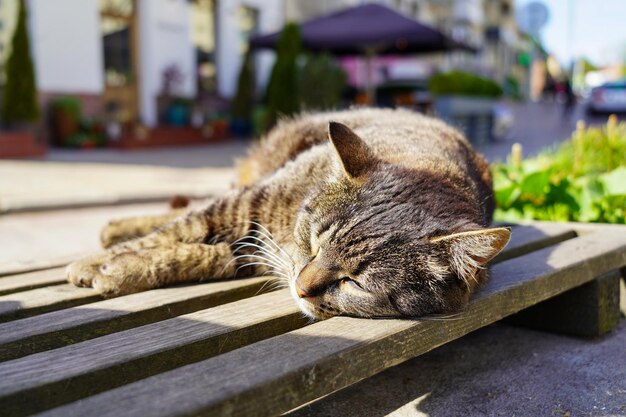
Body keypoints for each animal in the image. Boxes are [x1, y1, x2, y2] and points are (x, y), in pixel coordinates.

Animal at [66, 107, 510, 318]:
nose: (301, 286)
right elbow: (175, 232)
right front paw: (97, 262)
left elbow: (190, 255)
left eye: (355, 282)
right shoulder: (245, 205)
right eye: (313, 242)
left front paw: (122, 268)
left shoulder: (248, 248)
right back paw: (115, 229)